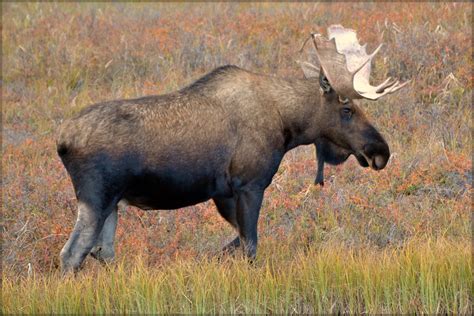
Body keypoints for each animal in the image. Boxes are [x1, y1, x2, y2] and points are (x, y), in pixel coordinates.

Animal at [58, 24, 408, 272]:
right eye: (347, 109)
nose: (380, 151)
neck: (288, 124)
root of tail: (62, 141)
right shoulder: (249, 185)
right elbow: (250, 245)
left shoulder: (223, 193)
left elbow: (235, 242)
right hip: (95, 198)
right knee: (72, 253)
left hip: (113, 204)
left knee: (102, 252)